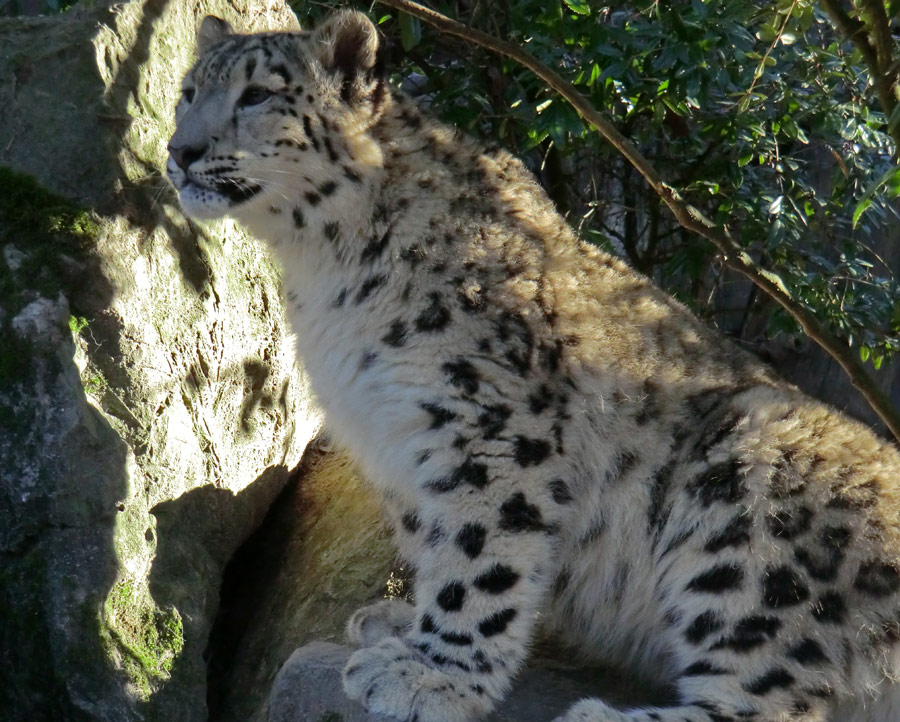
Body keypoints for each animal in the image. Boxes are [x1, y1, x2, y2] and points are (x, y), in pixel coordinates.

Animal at [165, 9, 900, 720]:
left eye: (258, 95)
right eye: (189, 92)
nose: (179, 152)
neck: (319, 268)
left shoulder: (488, 418)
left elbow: (477, 549)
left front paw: (434, 674)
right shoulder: (391, 434)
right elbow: (431, 536)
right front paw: (405, 624)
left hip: (754, 490)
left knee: (776, 694)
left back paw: (598, 716)